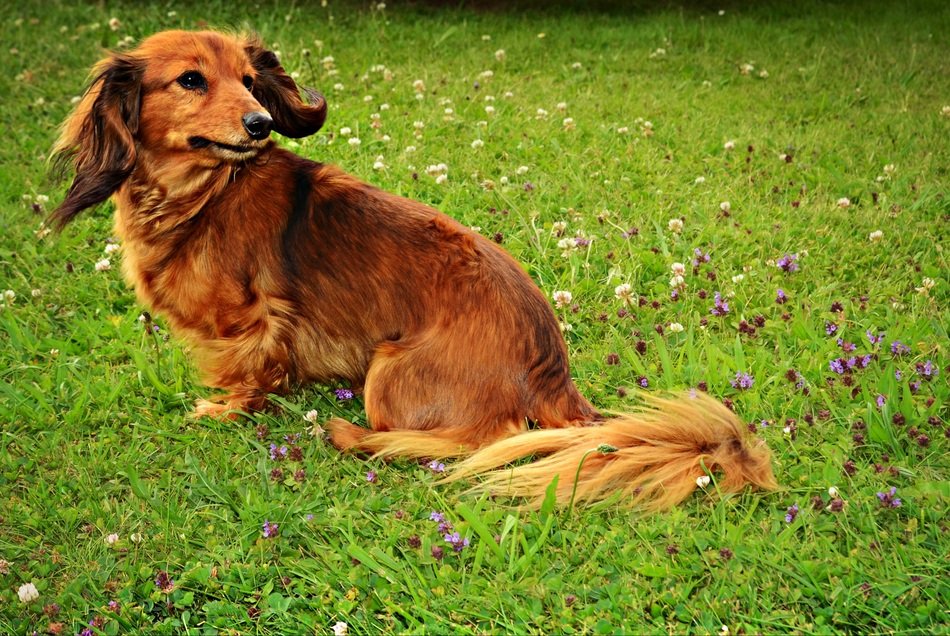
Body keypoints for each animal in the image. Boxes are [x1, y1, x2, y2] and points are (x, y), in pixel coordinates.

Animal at [52, 31, 776, 512]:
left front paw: (224, 408)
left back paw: (356, 436)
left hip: (391, 371)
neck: (203, 194)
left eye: (250, 82)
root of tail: (552, 368)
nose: (259, 124)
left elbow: (248, 372)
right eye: (191, 80)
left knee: (483, 440)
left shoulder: (252, 317)